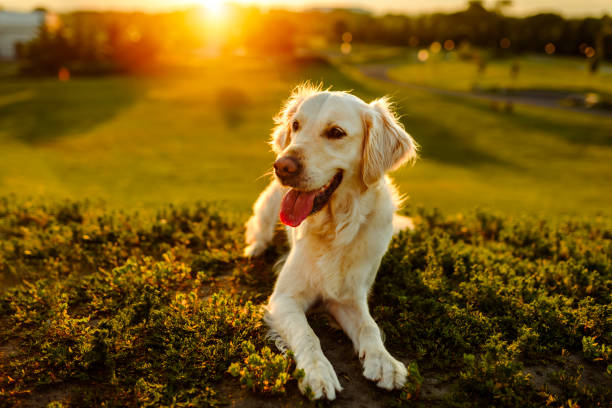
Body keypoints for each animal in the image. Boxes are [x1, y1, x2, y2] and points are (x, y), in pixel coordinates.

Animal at [243, 84, 416, 400]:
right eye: (296, 125)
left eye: (336, 133)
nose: (282, 167)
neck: (334, 228)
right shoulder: (284, 298)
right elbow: (308, 335)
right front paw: (317, 373)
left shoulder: (347, 297)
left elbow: (370, 327)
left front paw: (385, 362)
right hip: (268, 203)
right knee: (259, 227)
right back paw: (255, 249)